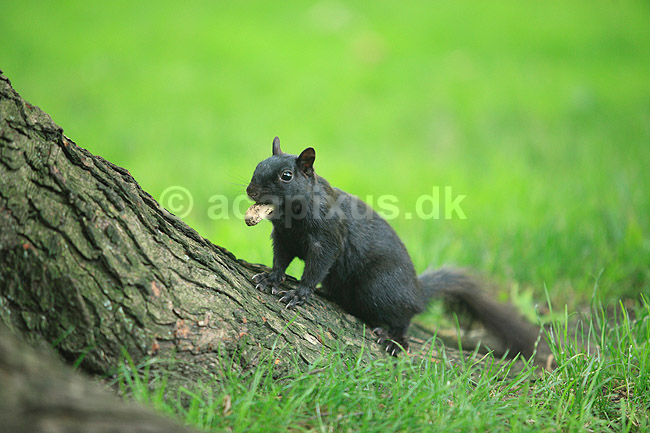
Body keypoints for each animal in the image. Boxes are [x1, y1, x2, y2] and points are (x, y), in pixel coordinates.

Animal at [246, 137, 550, 359]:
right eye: (258, 165)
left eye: (287, 176)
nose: (251, 191)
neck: (292, 214)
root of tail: (417, 293)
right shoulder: (282, 237)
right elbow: (280, 260)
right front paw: (271, 279)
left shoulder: (328, 239)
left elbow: (316, 267)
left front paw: (299, 294)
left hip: (380, 287)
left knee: (403, 319)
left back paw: (395, 340)